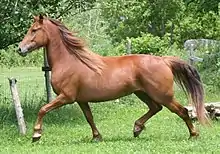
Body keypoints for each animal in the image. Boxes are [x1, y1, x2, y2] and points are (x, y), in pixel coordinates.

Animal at [18, 15, 209, 143]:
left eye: (34, 30)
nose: (20, 49)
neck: (69, 61)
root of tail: (164, 60)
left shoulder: (66, 97)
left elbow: (43, 109)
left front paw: (36, 134)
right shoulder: (81, 100)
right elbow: (89, 118)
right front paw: (97, 137)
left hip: (163, 95)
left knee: (181, 111)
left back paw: (193, 134)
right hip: (143, 93)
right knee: (156, 108)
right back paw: (137, 128)